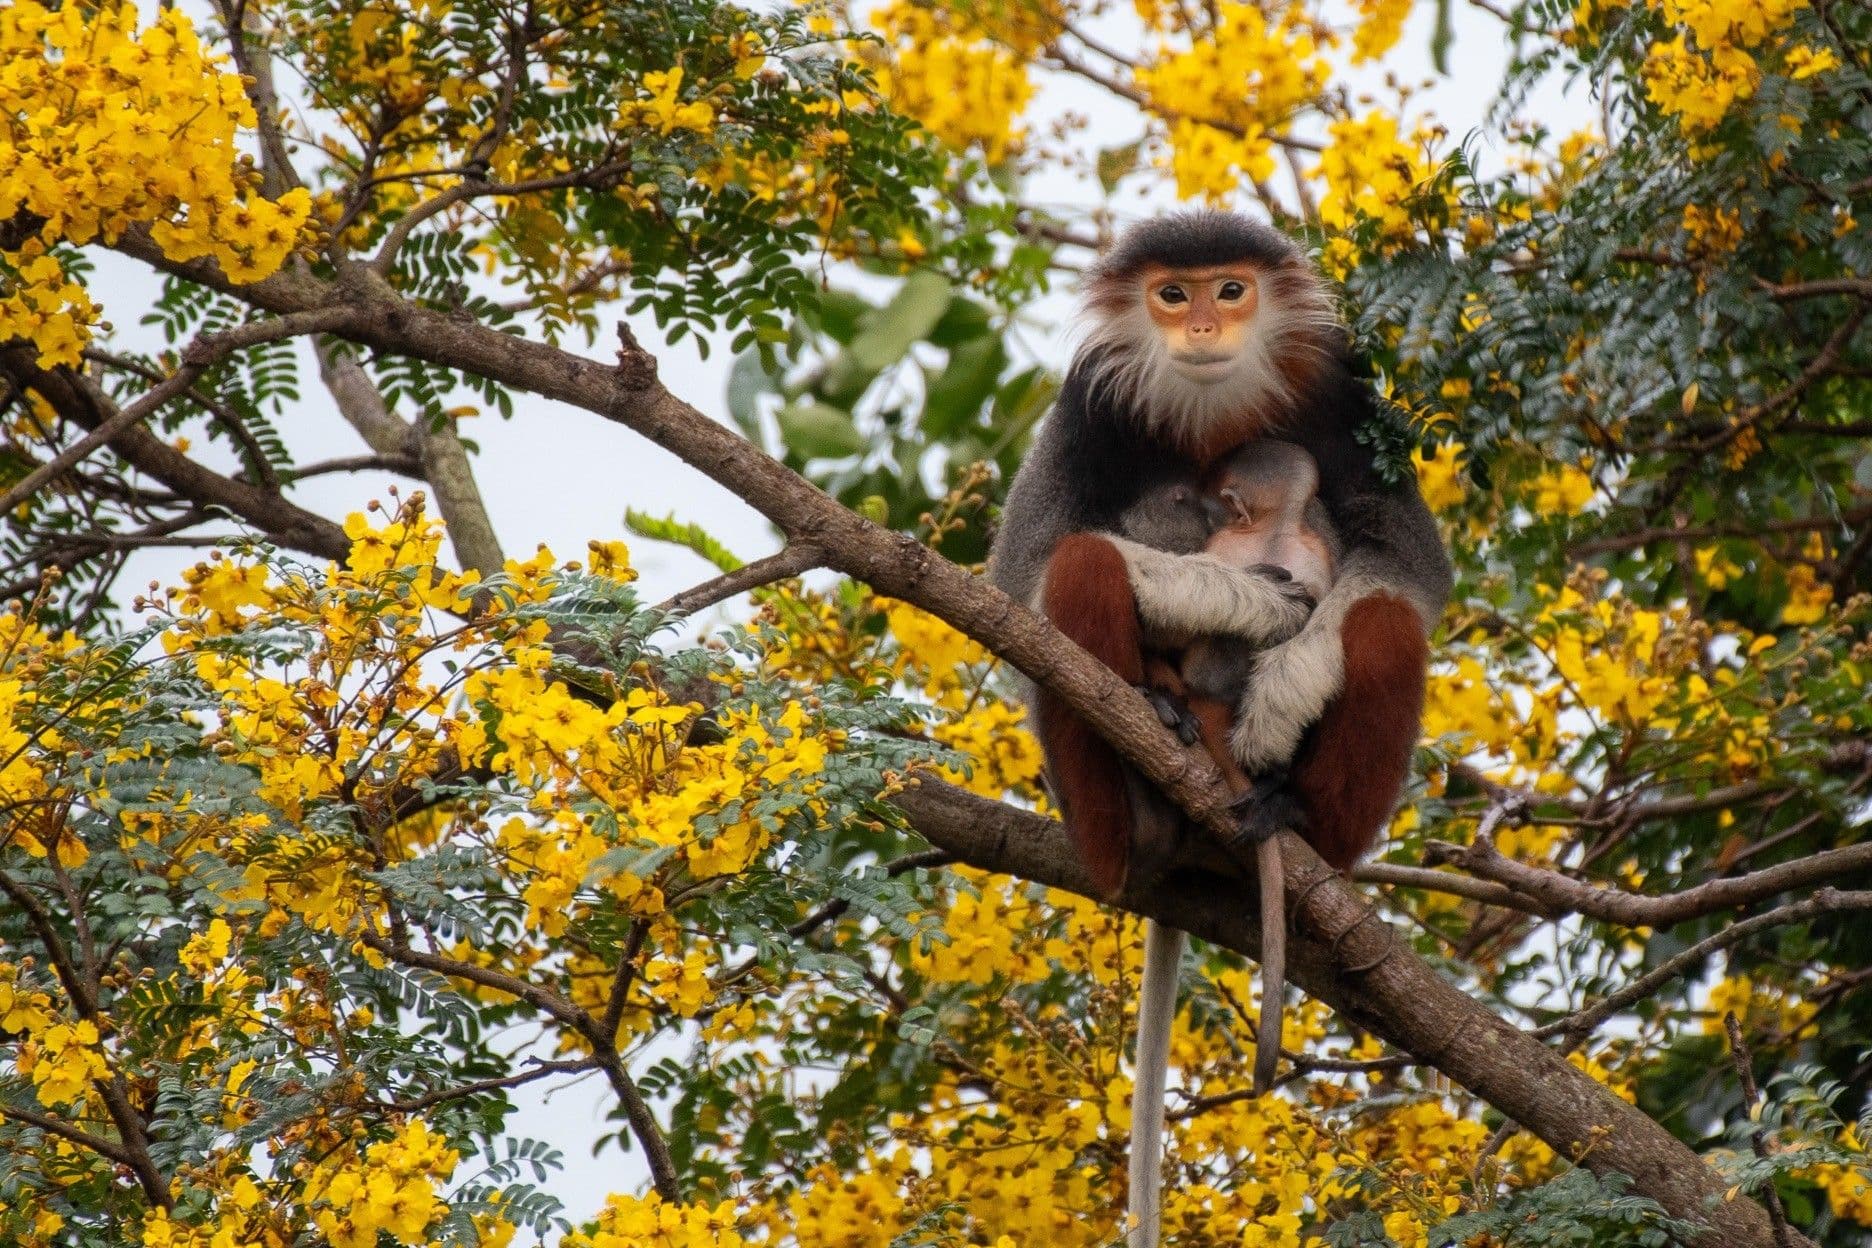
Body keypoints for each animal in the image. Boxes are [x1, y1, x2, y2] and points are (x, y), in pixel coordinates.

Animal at [985, 212, 1450, 1248]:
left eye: (1230, 290)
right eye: (1173, 294)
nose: (1202, 326)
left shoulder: (1345, 391)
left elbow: (1408, 571)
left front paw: (1282, 682)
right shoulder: (1088, 406)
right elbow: (1021, 578)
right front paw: (1225, 598)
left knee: (1384, 620)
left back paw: (1290, 816)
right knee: (1080, 565)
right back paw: (1146, 764)